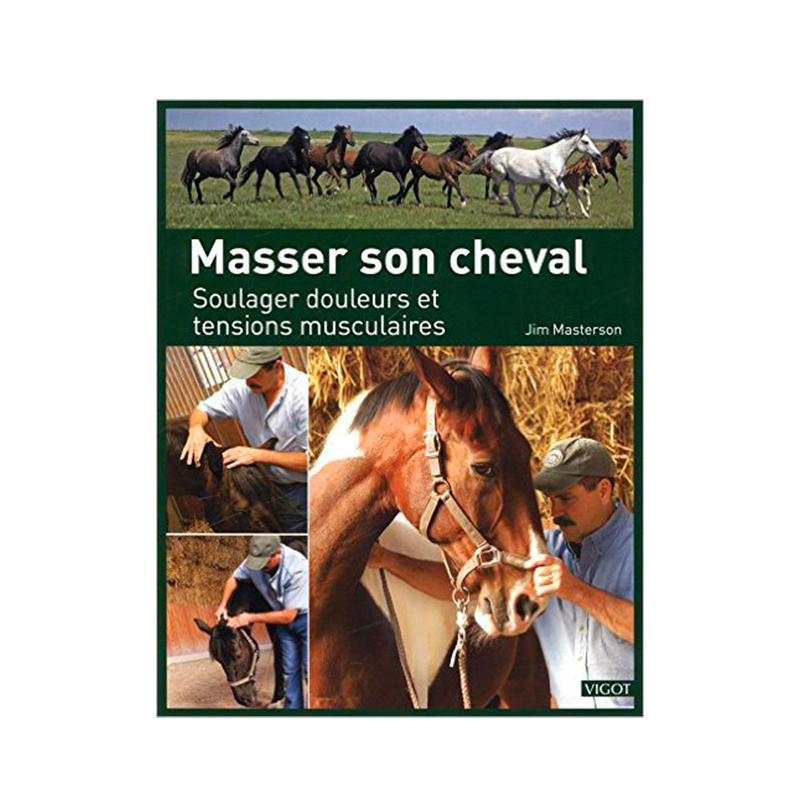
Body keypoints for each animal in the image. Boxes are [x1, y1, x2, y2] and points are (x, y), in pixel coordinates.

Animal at [470, 128, 602, 218]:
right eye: (585, 142)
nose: (598, 155)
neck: (556, 155)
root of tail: (493, 152)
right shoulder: (550, 179)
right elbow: (562, 194)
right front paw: (568, 211)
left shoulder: (558, 179)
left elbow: (563, 193)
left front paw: (580, 214)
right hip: (500, 176)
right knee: (496, 190)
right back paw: (503, 202)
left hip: (511, 179)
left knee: (511, 195)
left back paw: (520, 213)